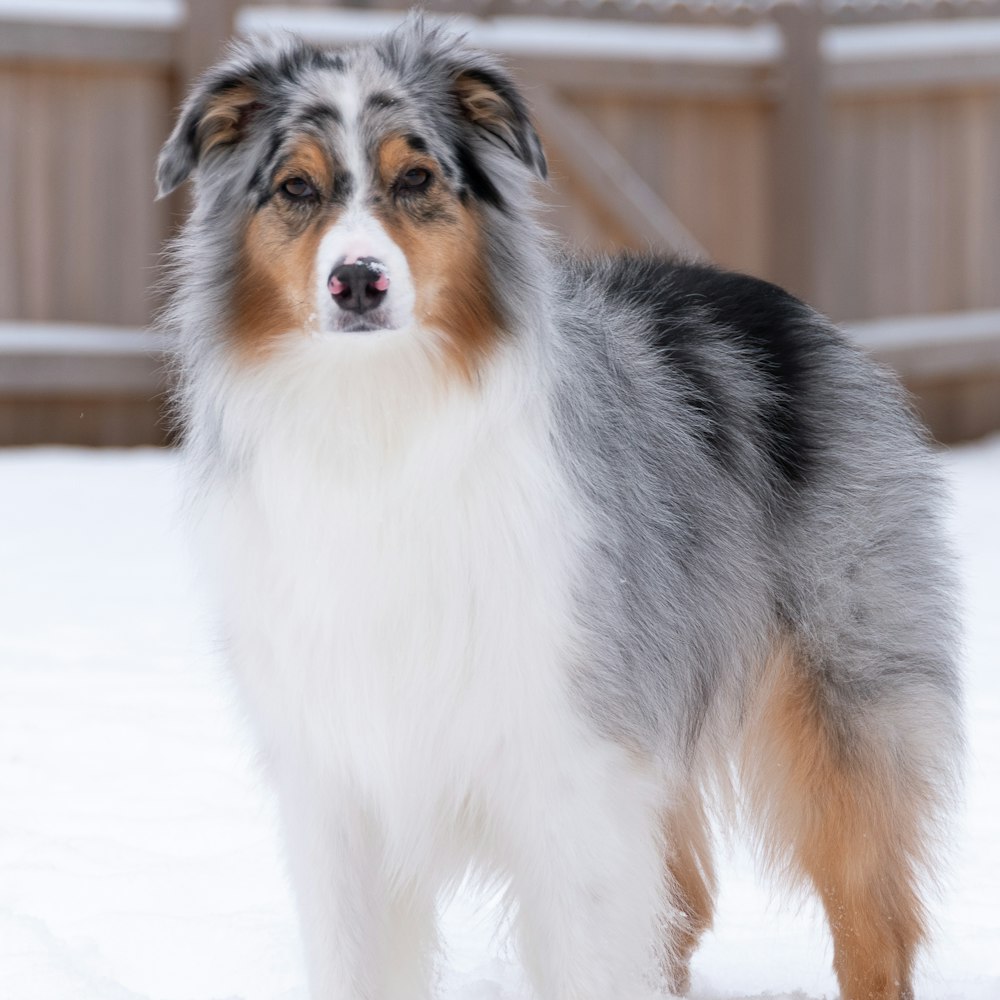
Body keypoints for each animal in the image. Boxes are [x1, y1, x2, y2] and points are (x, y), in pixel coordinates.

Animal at [158, 17, 960, 1000]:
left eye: (416, 178)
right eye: (296, 188)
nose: (357, 281)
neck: (379, 415)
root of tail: (783, 308)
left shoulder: (570, 764)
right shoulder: (339, 778)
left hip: (840, 702)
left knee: (871, 922)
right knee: (685, 903)